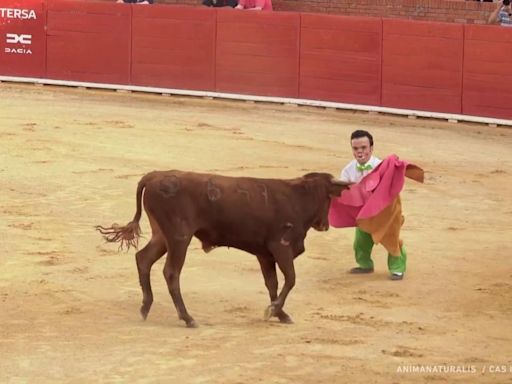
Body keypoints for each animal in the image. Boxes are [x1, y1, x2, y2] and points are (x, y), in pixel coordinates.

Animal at [97, 170, 348, 328]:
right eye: (329, 198)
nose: (324, 225)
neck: (299, 197)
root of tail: (154, 176)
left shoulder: (265, 254)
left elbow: (273, 283)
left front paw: (280, 313)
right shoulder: (281, 247)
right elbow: (291, 279)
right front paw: (273, 310)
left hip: (162, 236)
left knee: (143, 259)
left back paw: (145, 307)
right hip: (179, 238)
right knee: (171, 272)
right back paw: (187, 318)